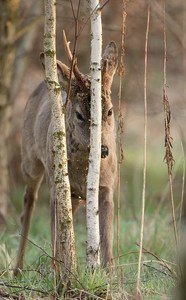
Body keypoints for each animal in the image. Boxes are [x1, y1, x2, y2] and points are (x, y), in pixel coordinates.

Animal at [14, 38, 117, 276]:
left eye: (109, 111)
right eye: (79, 114)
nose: (104, 149)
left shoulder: (108, 186)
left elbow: (107, 239)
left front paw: (111, 276)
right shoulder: (57, 186)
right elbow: (57, 236)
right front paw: (59, 273)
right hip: (30, 160)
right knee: (28, 205)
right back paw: (17, 269)